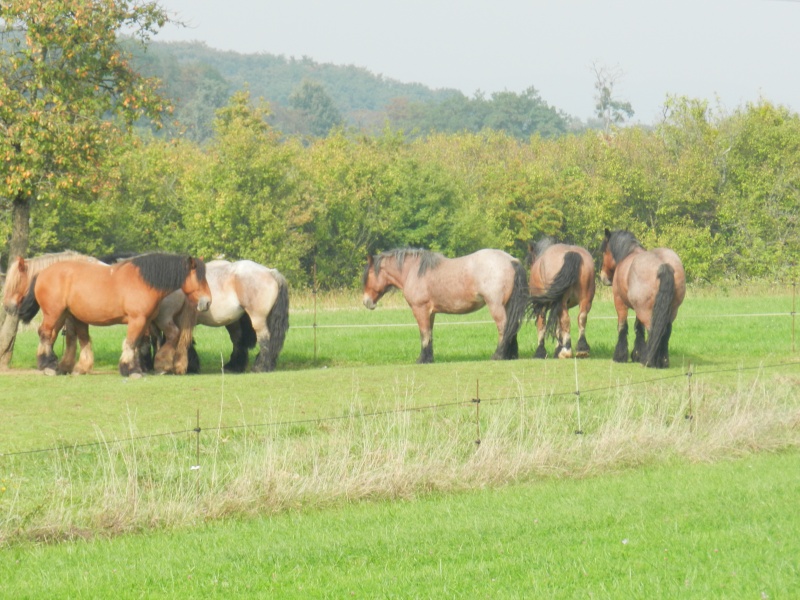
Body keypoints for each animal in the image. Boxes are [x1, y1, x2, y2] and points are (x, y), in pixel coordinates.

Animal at [18, 254, 212, 378]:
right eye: (200, 278)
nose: (207, 302)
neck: (143, 281)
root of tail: (43, 273)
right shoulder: (137, 319)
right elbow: (131, 343)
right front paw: (131, 370)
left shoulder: (145, 321)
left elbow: (138, 344)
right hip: (53, 313)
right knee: (45, 334)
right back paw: (48, 366)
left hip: (64, 315)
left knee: (54, 336)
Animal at [364, 247, 532, 364]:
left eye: (369, 275)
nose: (366, 302)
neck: (413, 272)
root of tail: (511, 260)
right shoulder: (431, 313)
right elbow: (430, 334)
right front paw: (429, 358)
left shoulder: (420, 310)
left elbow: (424, 333)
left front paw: (422, 359)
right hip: (507, 305)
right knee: (512, 326)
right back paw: (510, 355)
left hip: (495, 305)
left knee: (503, 327)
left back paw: (498, 355)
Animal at [600, 230, 688, 368]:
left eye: (604, 251)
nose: (603, 277)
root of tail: (664, 265)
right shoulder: (638, 309)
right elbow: (638, 328)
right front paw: (637, 354)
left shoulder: (619, 302)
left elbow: (623, 327)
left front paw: (620, 356)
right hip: (670, 311)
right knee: (665, 331)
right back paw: (662, 361)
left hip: (646, 311)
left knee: (653, 330)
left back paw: (648, 360)